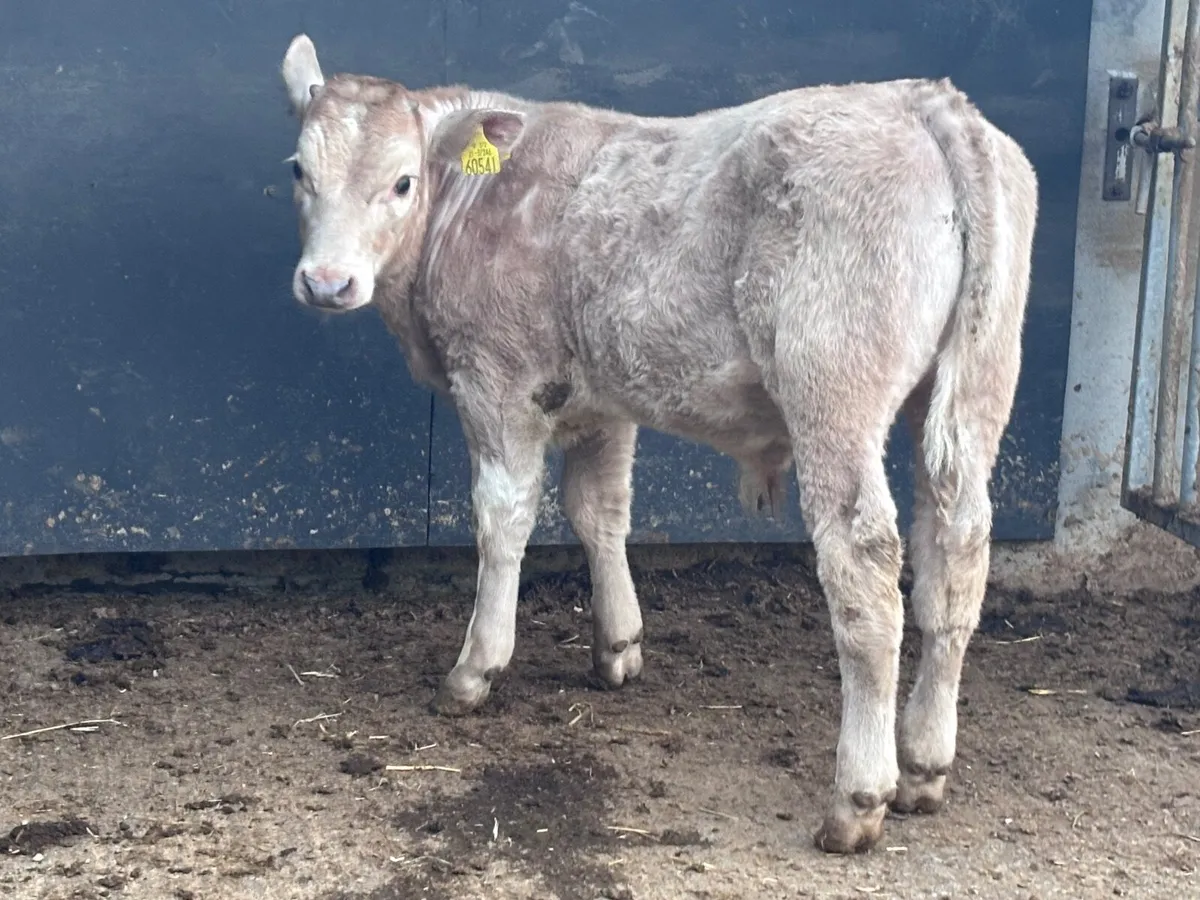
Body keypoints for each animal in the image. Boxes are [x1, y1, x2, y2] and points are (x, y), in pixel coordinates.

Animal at [277, 34, 1038, 854]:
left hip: (833, 386)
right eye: (299, 170)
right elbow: (600, 511)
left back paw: (858, 797)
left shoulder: (496, 382)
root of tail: (923, 100)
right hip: (976, 388)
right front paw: (618, 647)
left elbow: (502, 519)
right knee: (956, 553)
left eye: (402, 181)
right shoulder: (603, 398)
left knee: (865, 564)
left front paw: (475, 669)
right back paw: (926, 763)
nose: (327, 282)